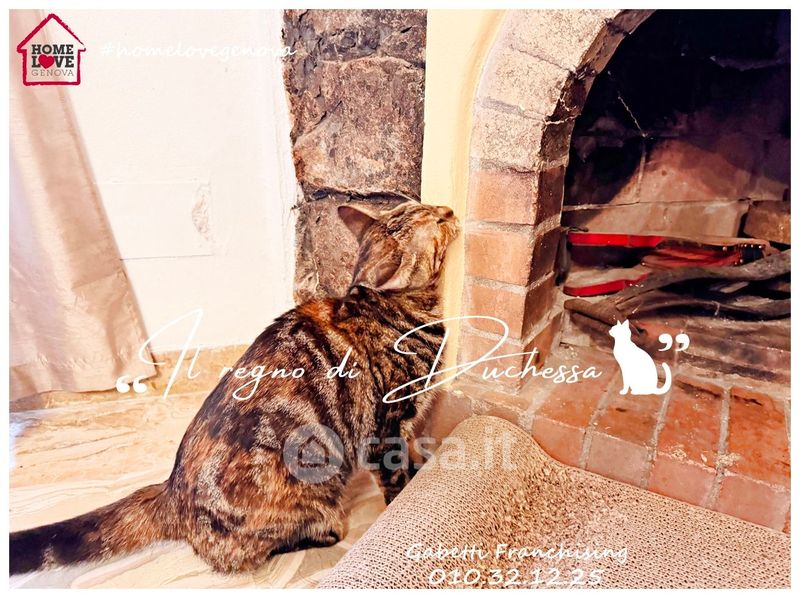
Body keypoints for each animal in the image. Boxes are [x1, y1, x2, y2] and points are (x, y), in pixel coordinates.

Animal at [10, 200, 459, 575]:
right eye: (436, 221)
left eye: (424, 204)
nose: (450, 210)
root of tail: (170, 491)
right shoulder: (386, 428)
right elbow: (395, 478)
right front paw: (402, 506)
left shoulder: (404, 426)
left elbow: (411, 458)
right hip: (312, 489)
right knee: (239, 556)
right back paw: (320, 533)